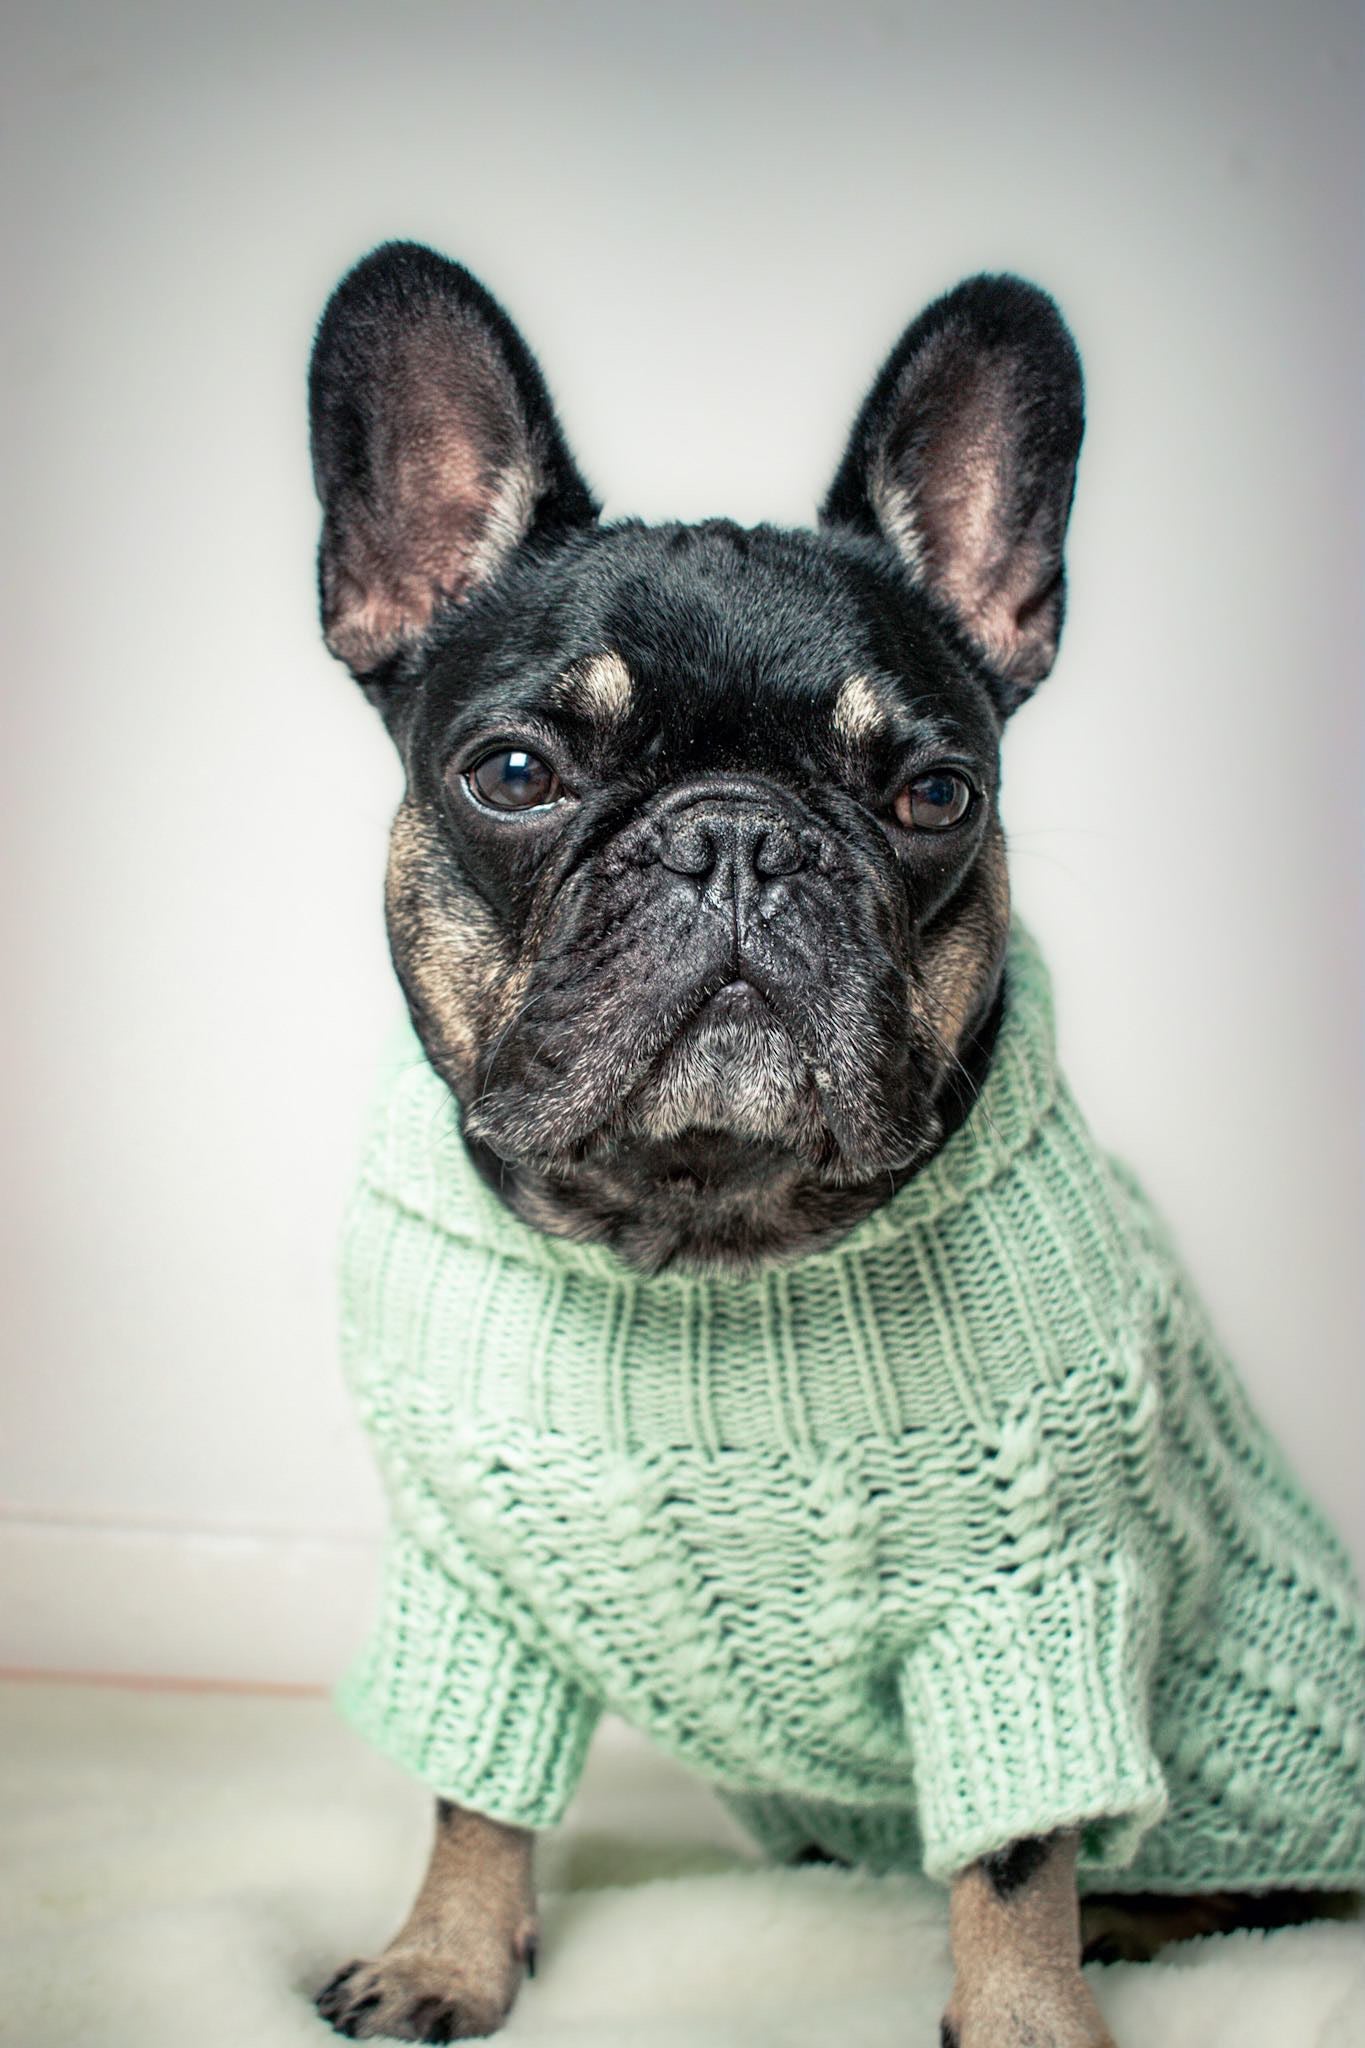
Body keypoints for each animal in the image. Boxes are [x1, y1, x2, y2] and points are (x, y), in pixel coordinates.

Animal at [304, 247, 1358, 2039]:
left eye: (935, 793)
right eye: (512, 771)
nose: (738, 837)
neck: (704, 1240)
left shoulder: (1033, 1601)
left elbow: (1016, 1854)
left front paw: (1027, 2020)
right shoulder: (476, 1590)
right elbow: (473, 1787)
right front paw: (443, 1951)